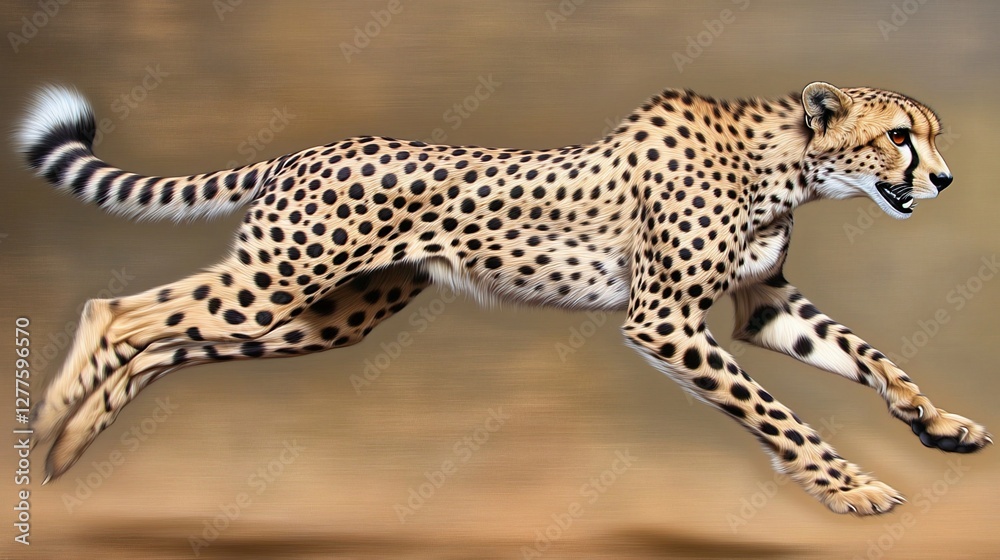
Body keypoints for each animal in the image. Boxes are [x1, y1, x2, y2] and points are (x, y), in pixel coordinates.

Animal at [16, 81, 991, 516]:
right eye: (899, 137)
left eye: (929, 136)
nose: (945, 179)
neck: (789, 164)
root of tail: (303, 152)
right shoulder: (664, 320)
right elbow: (777, 411)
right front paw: (852, 484)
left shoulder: (763, 306)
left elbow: (869, 354)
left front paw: (936, 423)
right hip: (277, 282)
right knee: (119, 315)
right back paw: (51, 421)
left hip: (323, 317)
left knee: (165, 342)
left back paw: (70, 447)